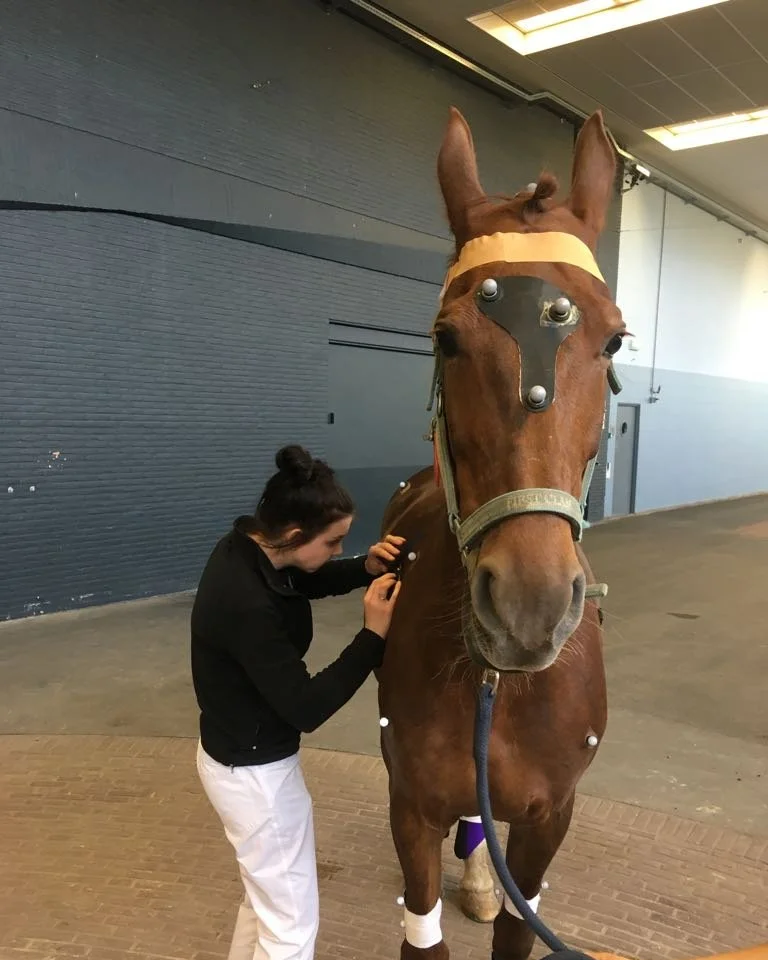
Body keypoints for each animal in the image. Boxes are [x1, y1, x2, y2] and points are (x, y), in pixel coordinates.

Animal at [376, 106, 624, 960]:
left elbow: (521, 923)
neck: (498, 685)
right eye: (446, 337)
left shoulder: (552, 817)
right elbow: (423, 926)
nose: (528, 606)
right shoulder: (411, 803)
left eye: (615, 340)